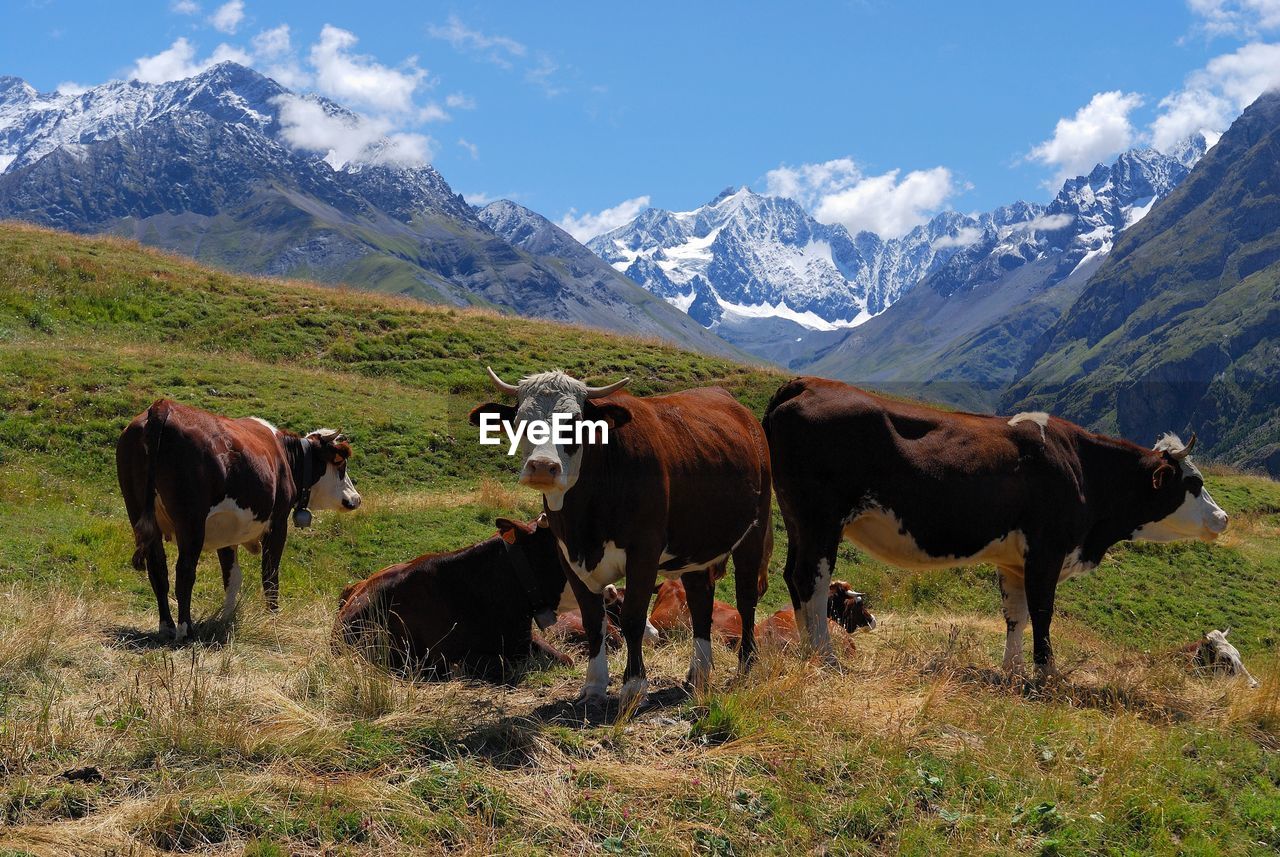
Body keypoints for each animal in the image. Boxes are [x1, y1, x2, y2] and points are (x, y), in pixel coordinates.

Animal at [118, 399, 363, 642]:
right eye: (340, 464)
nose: (355, 498)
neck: (283, 455)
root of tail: (163, 406)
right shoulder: (277, 524)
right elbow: (270, 574)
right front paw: (273, 618)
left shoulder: (226, 531)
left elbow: (232, 577)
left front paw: (226, 618)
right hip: (191, 521)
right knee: (185, 570)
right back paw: (185, 629)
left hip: (138, 511)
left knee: (158, 569)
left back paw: (167, 626)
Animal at [471, 368, 768, 711]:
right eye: (520, 420)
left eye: (575, 422)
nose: (543, 467)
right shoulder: (568, 557)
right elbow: (593, 621)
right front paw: (594, 686)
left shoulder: (644, 553)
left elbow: (633, 619)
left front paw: (634, 687)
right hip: (695, 546)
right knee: (700, 600)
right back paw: (699, 673)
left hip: (754, 533)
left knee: (746, 599)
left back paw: (746, 665)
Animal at [762, 378, 1223, 680]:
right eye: (1193, 483)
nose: (1222, 518)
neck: (1081, 468)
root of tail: (807, 383)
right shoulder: (1047, 552)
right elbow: (1043, 613)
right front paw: (1046, 674)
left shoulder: (1014, 561)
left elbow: (1015, 615)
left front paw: (1012, 670)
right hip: (821, 518)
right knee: (812, 578)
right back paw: (825, 656)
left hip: (799, 518)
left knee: (792, 576)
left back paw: (808, 651)